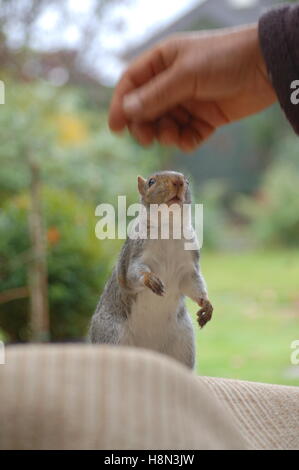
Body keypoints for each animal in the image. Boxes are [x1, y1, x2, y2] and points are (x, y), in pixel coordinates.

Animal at [89, 171, 213, 370]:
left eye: (187, 181)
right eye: (151, 182)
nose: (178, 181)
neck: (168, 229)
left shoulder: (188, 267)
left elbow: (192, 284)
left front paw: (206, 305)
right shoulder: (135, 254)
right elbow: (133, 274)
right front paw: (150, 279)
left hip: (183, 343)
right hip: (112, 336)